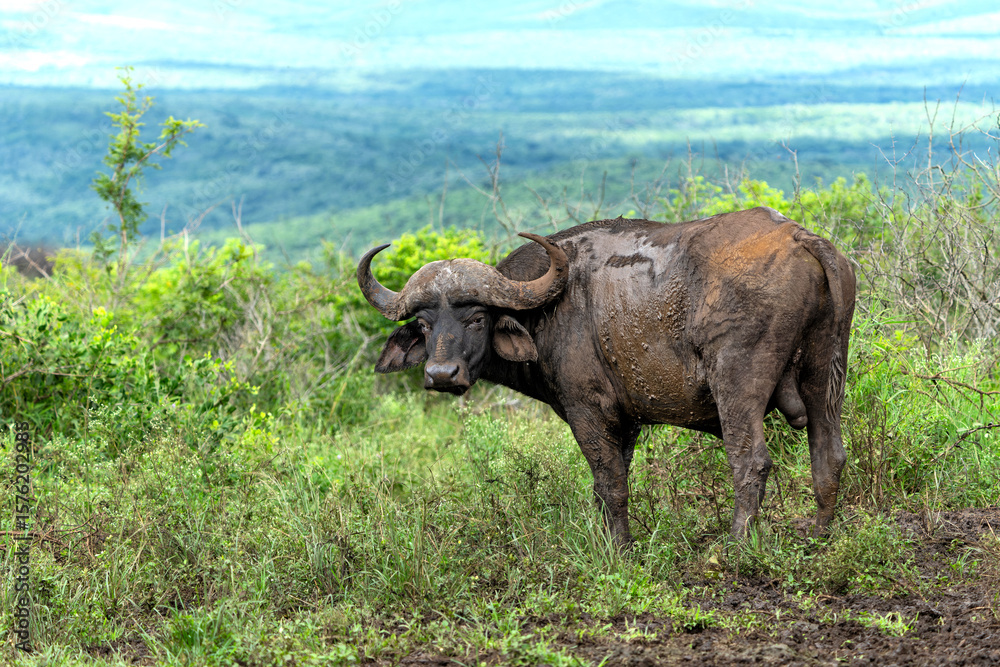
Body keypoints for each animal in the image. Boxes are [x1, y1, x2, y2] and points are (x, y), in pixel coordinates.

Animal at [357, 207, 856, 545]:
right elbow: (611, 482)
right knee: (829, 455)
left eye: (477, 318)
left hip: (736, 383)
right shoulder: (626, 422)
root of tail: (799, 236)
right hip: (826, 376)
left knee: (750, 460)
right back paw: (819, 533)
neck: (552, 306)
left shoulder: (588, 412)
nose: (441, 374)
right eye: (424, 324)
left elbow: (610, 483)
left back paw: (735, 544)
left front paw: (620, 547)